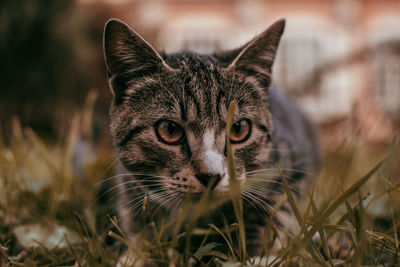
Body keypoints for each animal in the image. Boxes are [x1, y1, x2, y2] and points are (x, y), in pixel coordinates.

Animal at [101, 18, 320, 258]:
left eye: (239, 129)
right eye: (169, 130)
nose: (211, 176)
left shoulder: (293, 162)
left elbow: (274, 208)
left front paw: (257, 253)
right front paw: (136, 252)